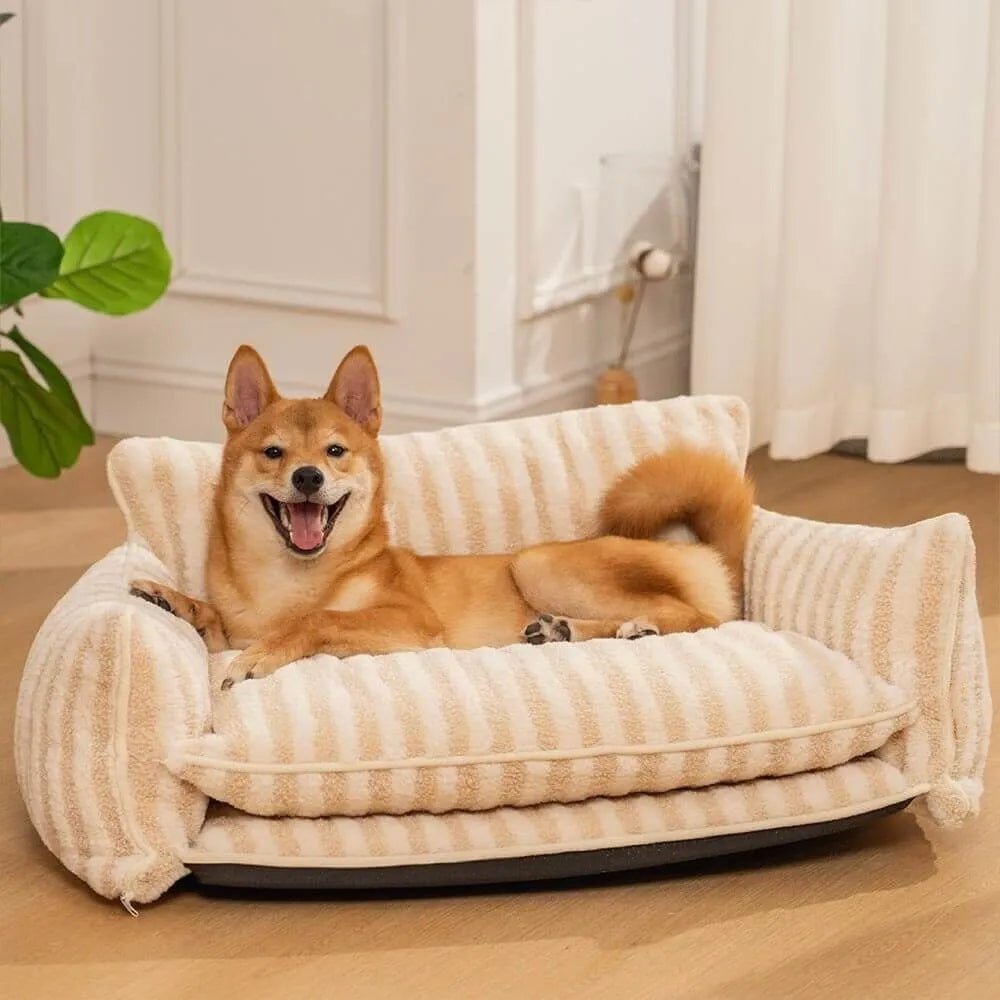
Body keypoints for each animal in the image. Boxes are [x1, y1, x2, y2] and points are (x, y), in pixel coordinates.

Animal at [129, 346, 752, 688]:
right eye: (274, 452)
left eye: (335, 451)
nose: (308, 478)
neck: (290, 579)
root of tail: (706, 550)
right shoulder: (234, 625)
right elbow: (212, 619)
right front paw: (171, 599)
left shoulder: (410, 622)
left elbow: (318, 621)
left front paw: (263, 654)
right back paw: (562, 629)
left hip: (539, 563)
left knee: (697, 616)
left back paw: (638, 626)